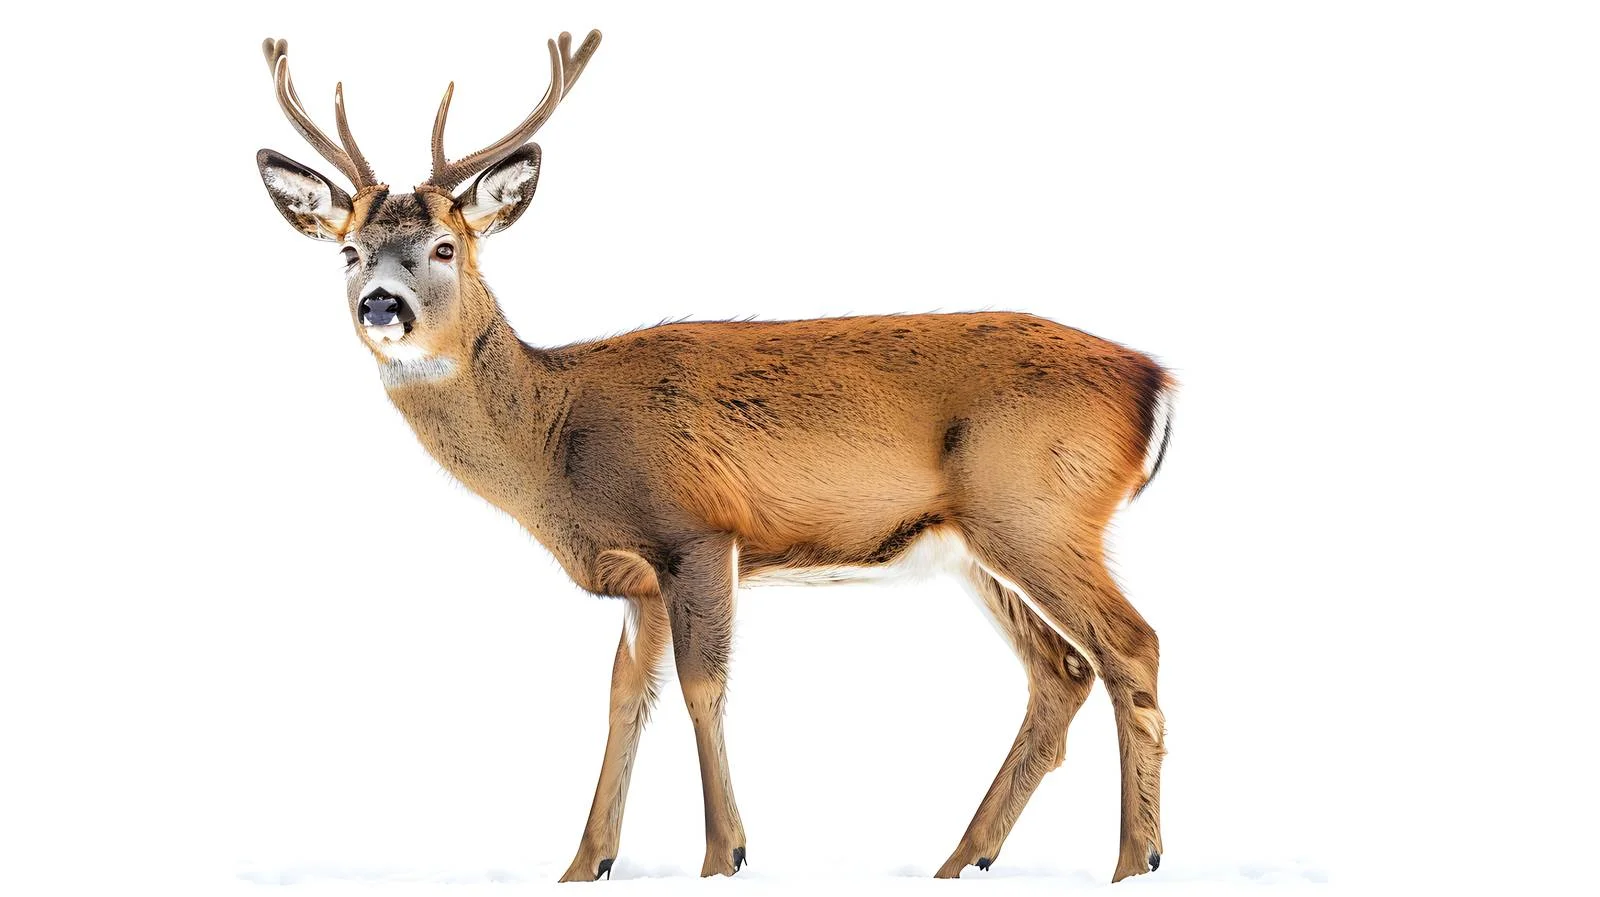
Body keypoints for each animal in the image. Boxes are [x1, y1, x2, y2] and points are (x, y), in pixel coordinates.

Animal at [254, 28, 1175, 884]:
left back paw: (1136, 860)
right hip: (978, 543)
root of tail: (1153, 379)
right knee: (1062, 670)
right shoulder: (639, 574)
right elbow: (625, 695)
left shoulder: (696, 529)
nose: (382, 304)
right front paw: (585, 863)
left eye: (445, 247)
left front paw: (724, 854)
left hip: (1039, 509)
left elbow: (703, 687)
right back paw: (963, 859)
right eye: (349, 251)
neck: (558, 437)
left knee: (1131, 645)